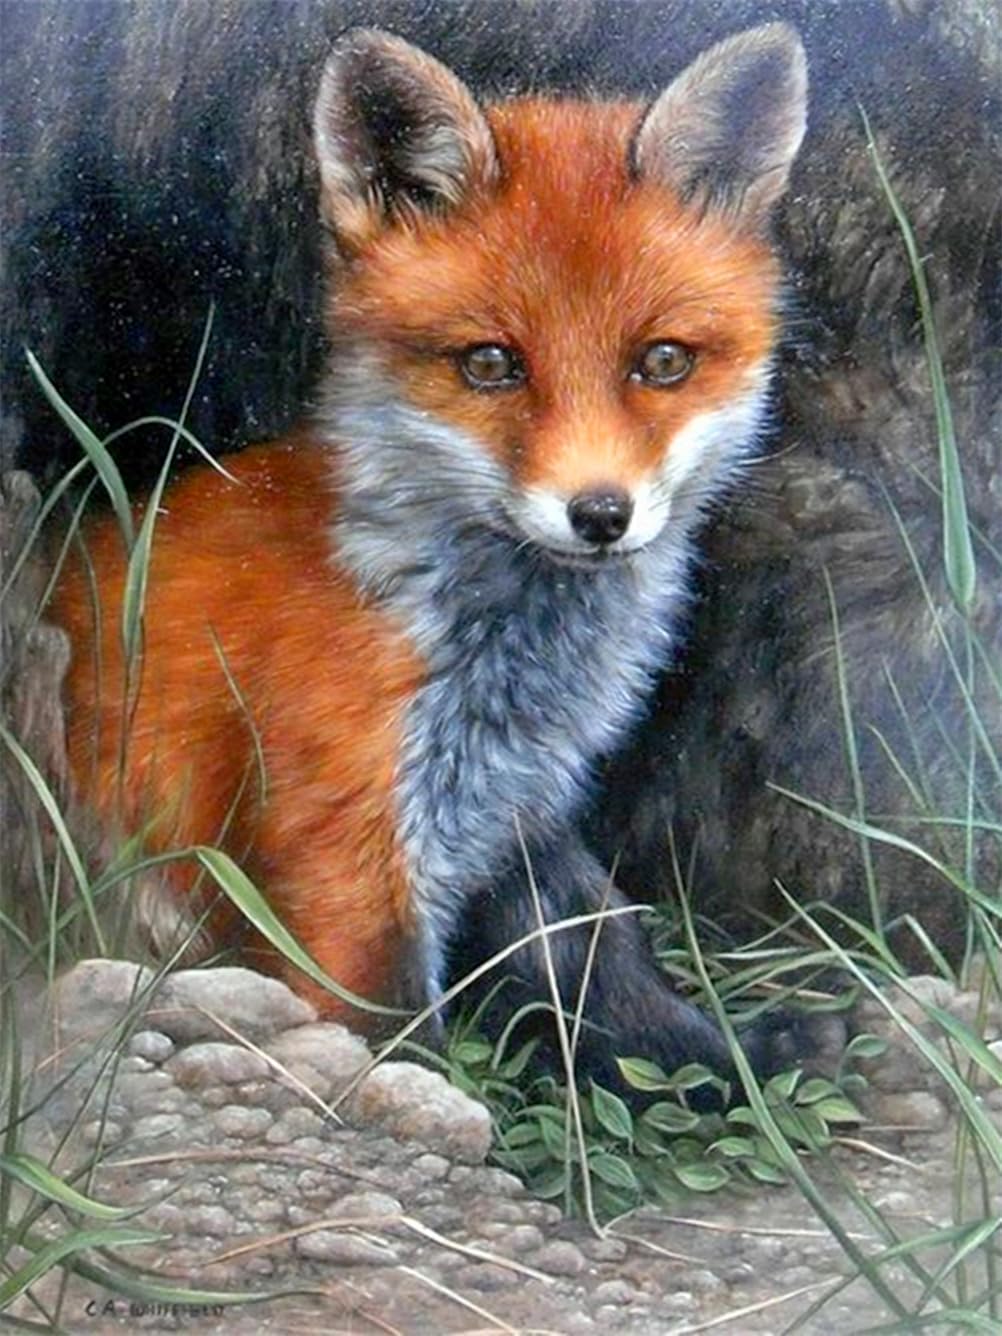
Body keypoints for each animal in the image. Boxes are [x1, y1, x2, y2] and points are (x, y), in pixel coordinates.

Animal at [49, 25, 810, 1092]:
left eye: (662, 362)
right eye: (490, 365)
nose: (600, 513)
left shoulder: (522, 811)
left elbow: (605, 958)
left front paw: (724, 1063)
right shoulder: (345, 853)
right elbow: (393, 1035)